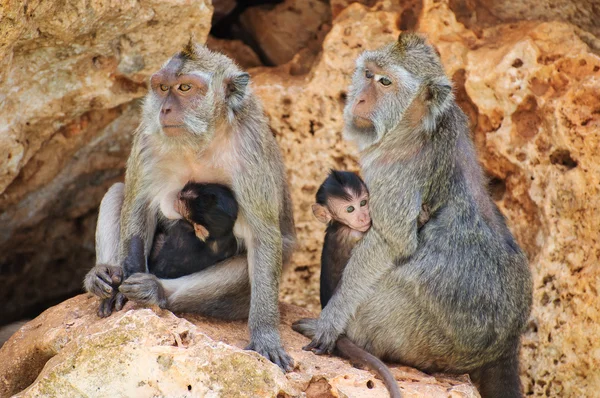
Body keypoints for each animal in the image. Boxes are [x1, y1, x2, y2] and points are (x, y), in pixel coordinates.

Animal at [292, 31, 532, 398]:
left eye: (385, 81)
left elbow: (390, 242)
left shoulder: (394, 170)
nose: (359, 99)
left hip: (415, 333)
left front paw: (328, 322)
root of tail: (507, 344)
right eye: (367, 74)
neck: (415, 126)